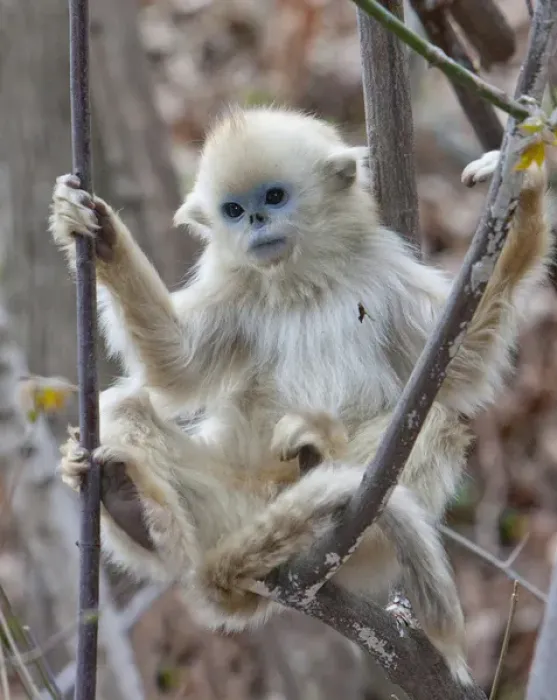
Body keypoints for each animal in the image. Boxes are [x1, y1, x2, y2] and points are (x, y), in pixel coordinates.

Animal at [48, 107, 551, 684]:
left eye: (274, 197)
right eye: (234, 209)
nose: (254, 222)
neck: (304, 281)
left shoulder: (383, 269)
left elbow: (462, 367)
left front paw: (525, 199)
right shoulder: (236, 287)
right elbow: (176, 368)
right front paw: (100, 235)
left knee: (437, 423)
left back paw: (319, 457)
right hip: (227, 509)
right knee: (127, 407)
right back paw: (128, 501)